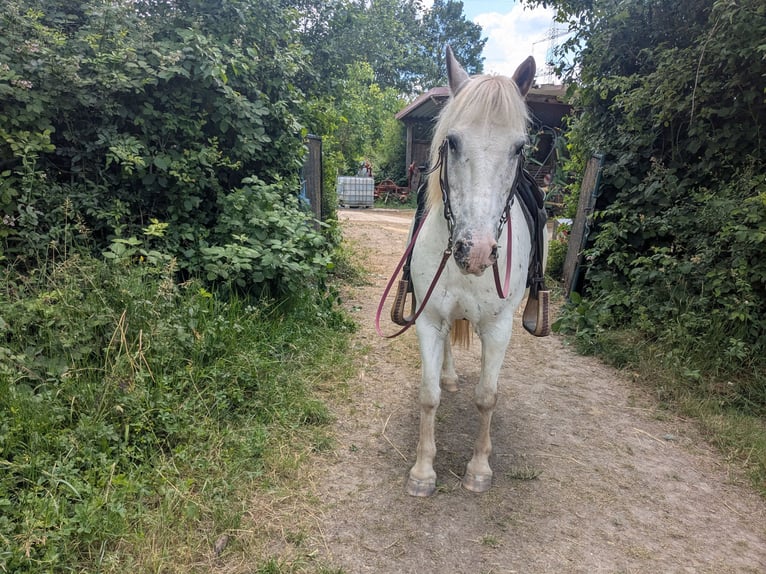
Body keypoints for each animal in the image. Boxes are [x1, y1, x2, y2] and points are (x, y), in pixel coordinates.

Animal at [405, 47, 544, 497]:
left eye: (519, 148)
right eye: (451, 141)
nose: (477, 250)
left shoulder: (499, 328)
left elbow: (487, 396)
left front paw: (479, 468)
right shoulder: (428, 319)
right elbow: (428, 395)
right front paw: (422, 471)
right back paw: (450, 377)